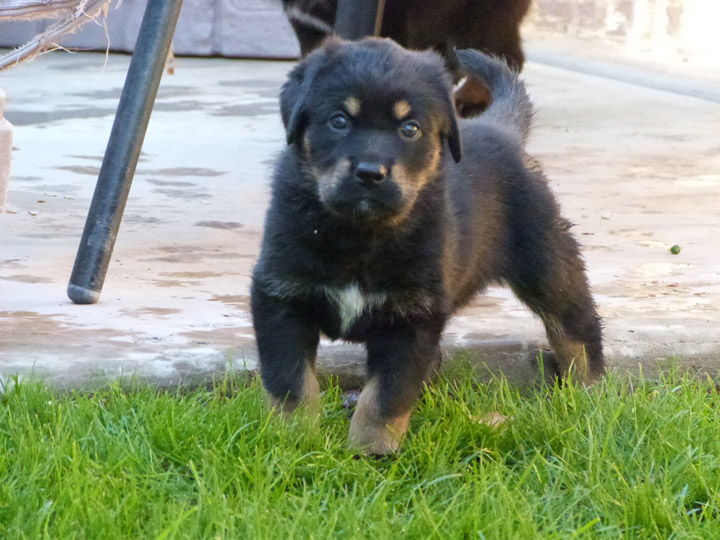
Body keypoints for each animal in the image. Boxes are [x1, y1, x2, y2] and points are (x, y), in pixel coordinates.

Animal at [252, 37, 600, 456]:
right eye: (339, 120)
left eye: (410, 128)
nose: (370, 173)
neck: (361, 233)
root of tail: (501, 129)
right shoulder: (280, 297)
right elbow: (292, 383)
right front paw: (292, 441)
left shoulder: (412, 318)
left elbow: (386, 394)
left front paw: (371, 452)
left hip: (547, 262)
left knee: (576, 327)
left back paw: (587, 395)